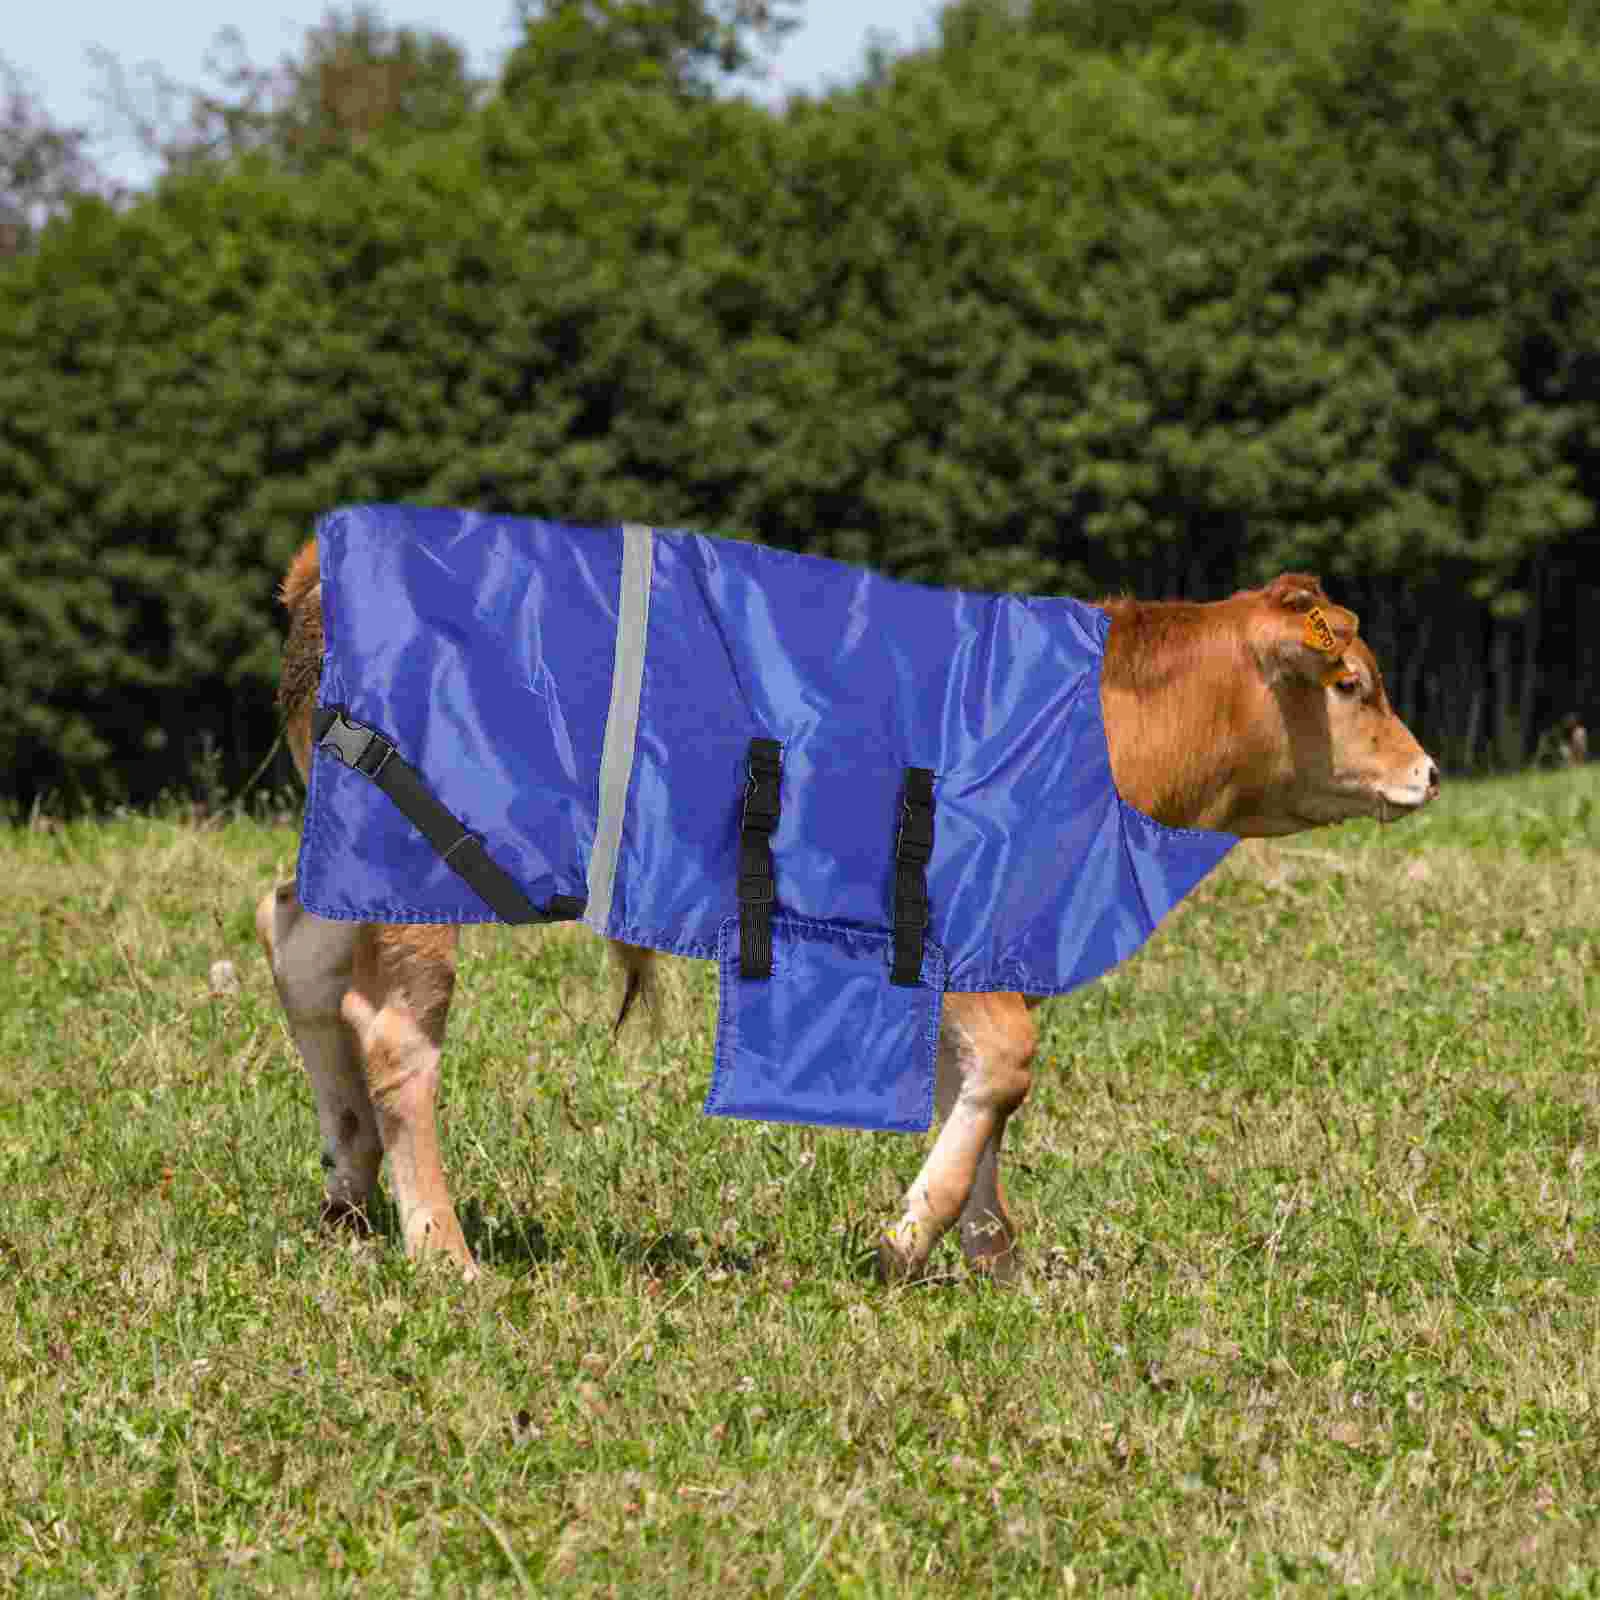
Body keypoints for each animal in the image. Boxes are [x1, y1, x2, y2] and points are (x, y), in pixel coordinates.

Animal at [257, 540, 1438, 1283]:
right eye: (1352, 686)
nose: (1426, 771)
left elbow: (973, 1082)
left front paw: (991, 1251)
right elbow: (1006, 1064)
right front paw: (910, 1239)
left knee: (296, 951)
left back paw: (349, 1194)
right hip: (419, 867)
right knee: (395, 1032)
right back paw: (442, 1249)